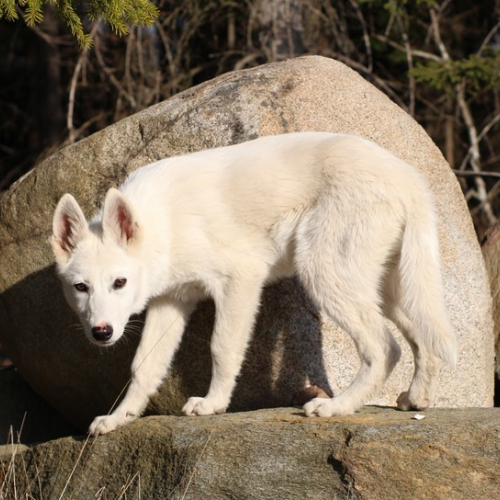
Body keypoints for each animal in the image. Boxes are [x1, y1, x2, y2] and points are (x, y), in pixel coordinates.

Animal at [51, 132, 458, 434]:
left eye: (119, 282)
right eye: (81, 288)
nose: (101, 333)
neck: (162, 224)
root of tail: (406, 175)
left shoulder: (240, 281)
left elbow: (222, 349)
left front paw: (212, 405)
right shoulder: (171, 302)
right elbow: (143, 368)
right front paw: (120, 419)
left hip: (324, 274)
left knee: (385, 348)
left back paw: (336, 407)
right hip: (385, 290)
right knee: (422, 341)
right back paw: (415, 399)